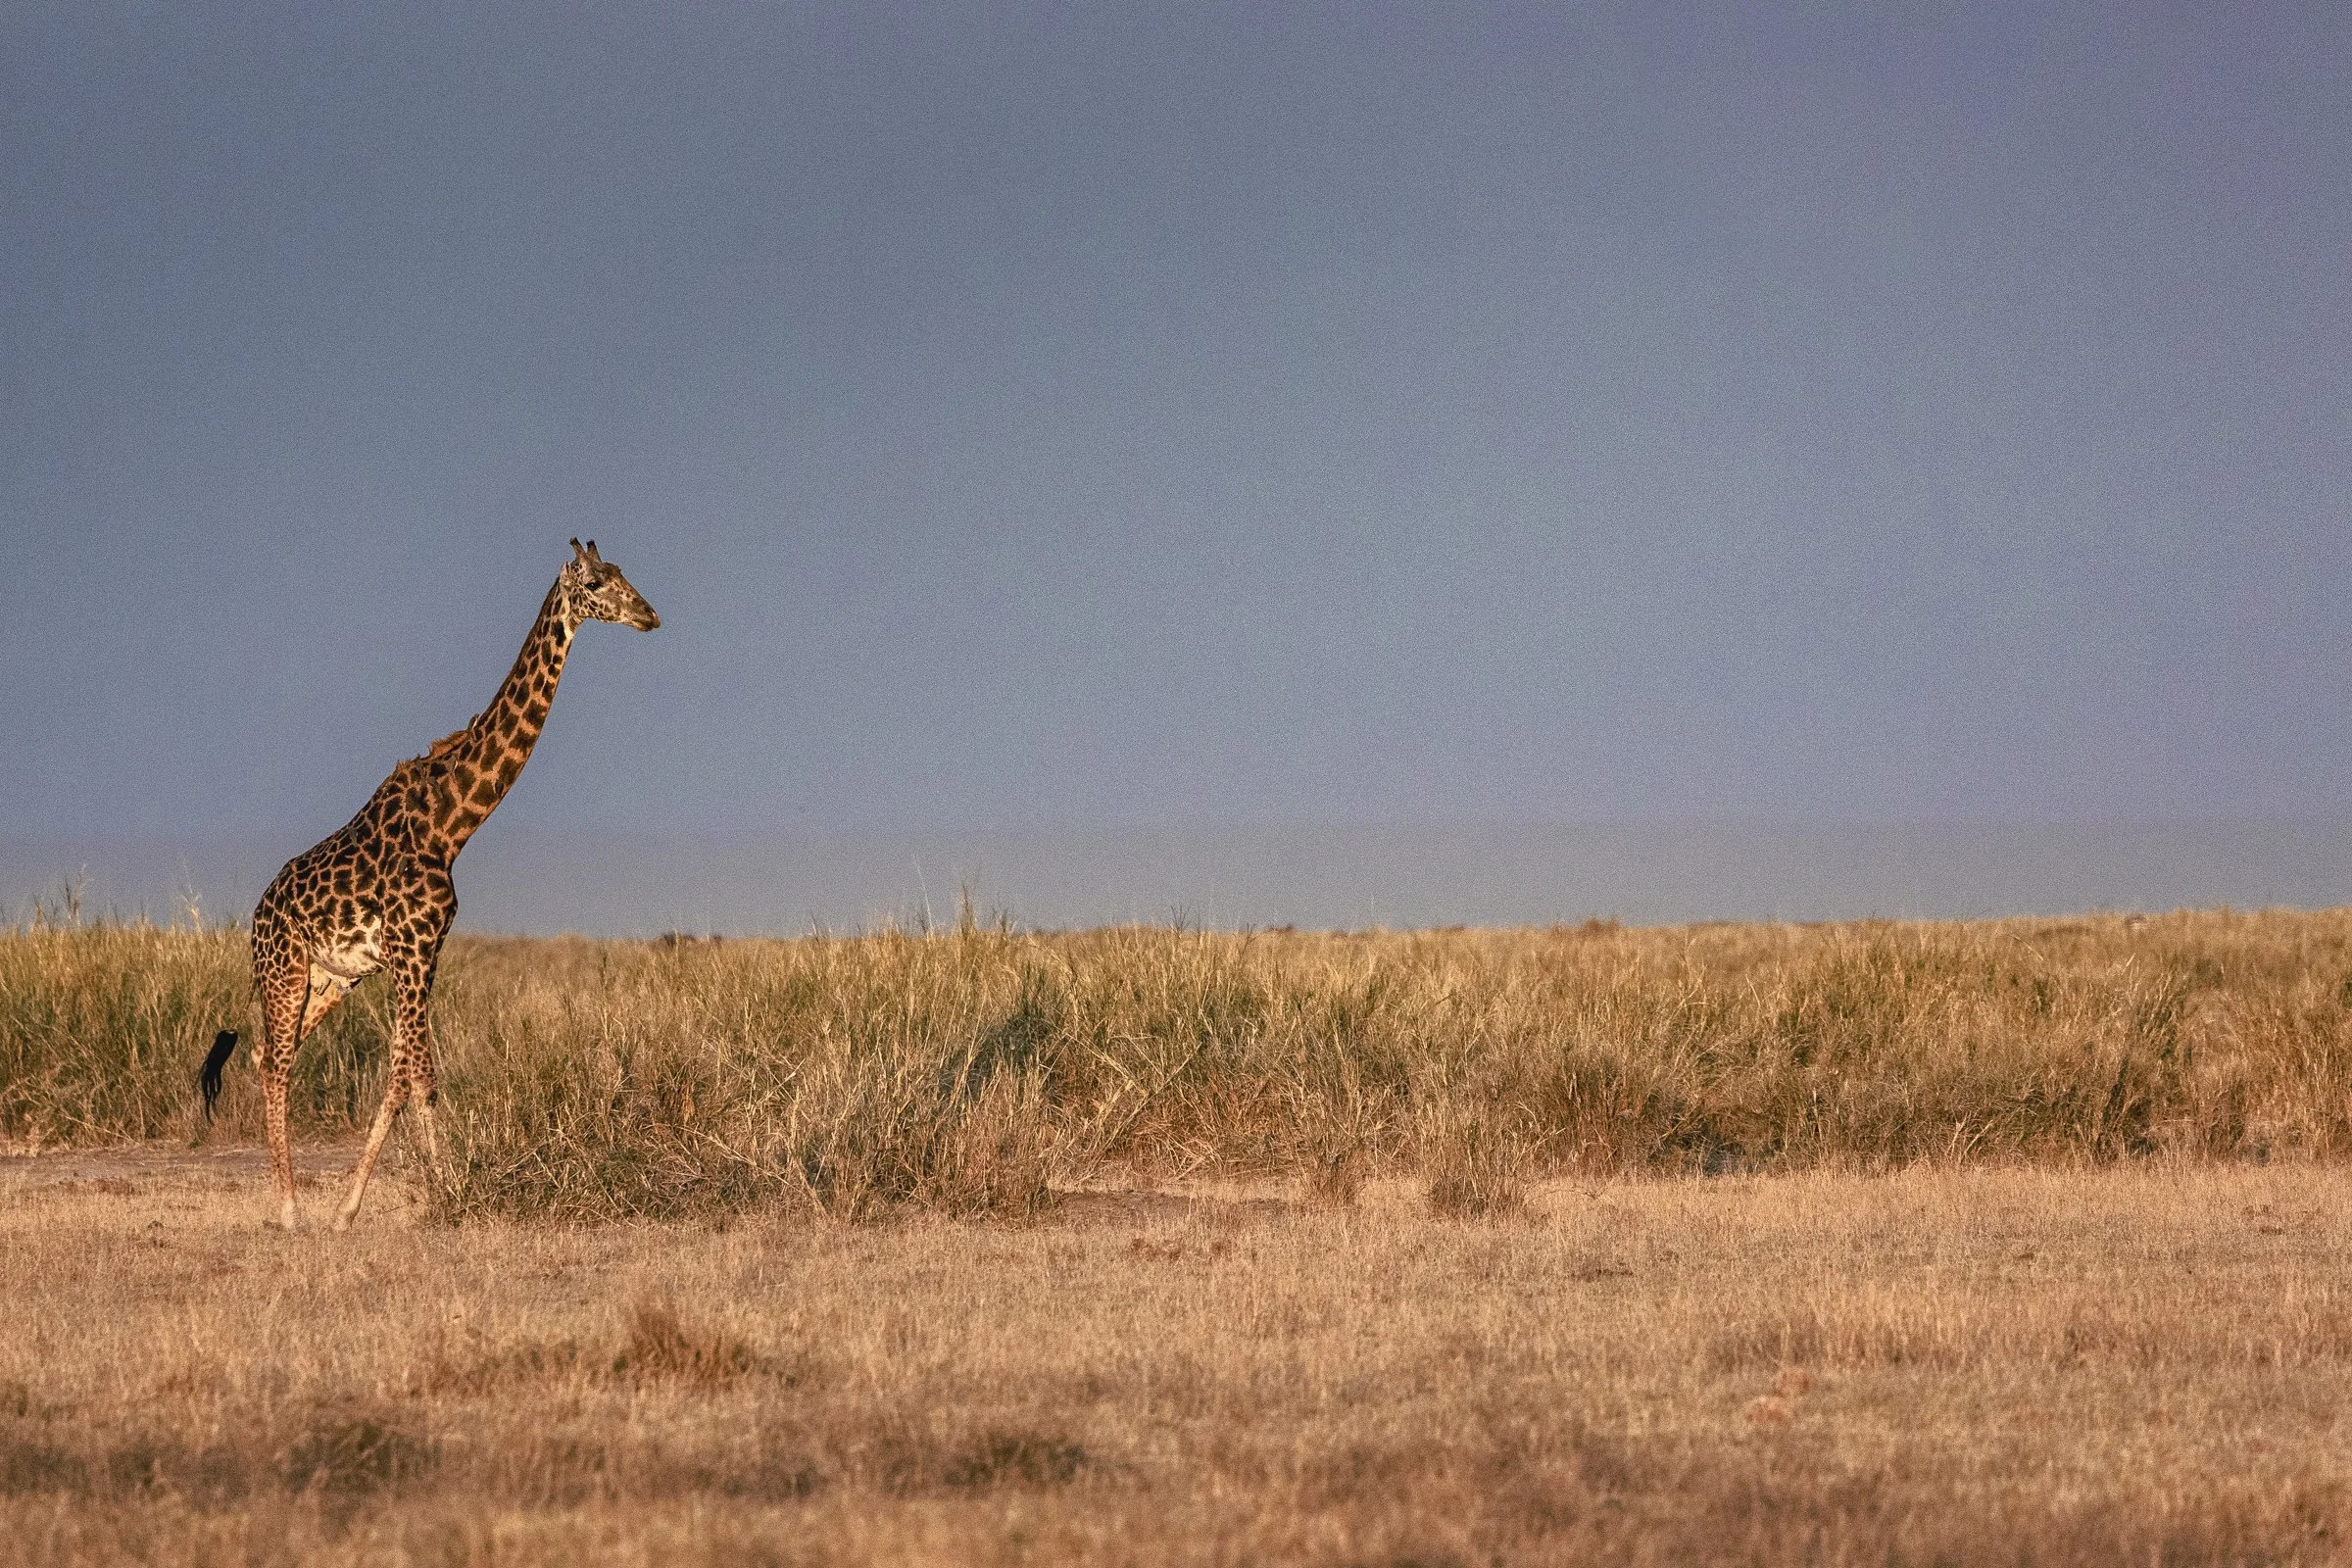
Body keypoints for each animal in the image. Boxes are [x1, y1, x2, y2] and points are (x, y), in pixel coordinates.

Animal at [204, 539, 659, 1230]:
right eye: (597, 582)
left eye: (622, 574)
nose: (650, 615)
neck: (451, 824)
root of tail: (257, 913)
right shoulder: (412, 951)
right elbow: (418, 1075)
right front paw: (440, 1195)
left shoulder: (423, 953)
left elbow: (404, 1074)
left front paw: (365, 1205)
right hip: (284, 969)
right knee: (277, 1064)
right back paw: (287, 1207)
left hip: (329, 980)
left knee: (262, 1055)